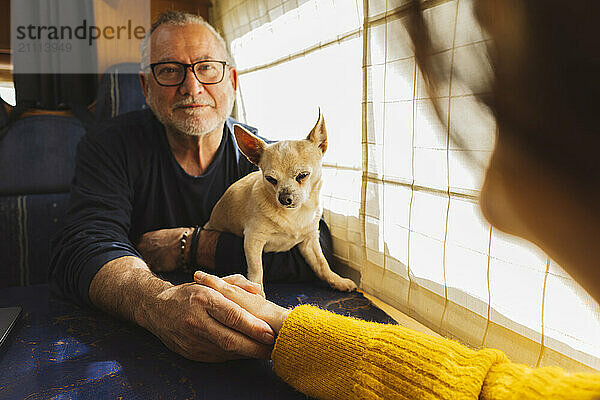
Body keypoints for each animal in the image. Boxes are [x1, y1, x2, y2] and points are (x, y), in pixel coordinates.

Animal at [205, 111, 356, 296]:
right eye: (270, 179)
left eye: (303, 175)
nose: (284, 198)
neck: (295, 214)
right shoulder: (253, 240)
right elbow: (257, 270)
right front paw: (258, 294)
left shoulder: (310, 242)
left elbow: (322, 265)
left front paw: (338, 281)